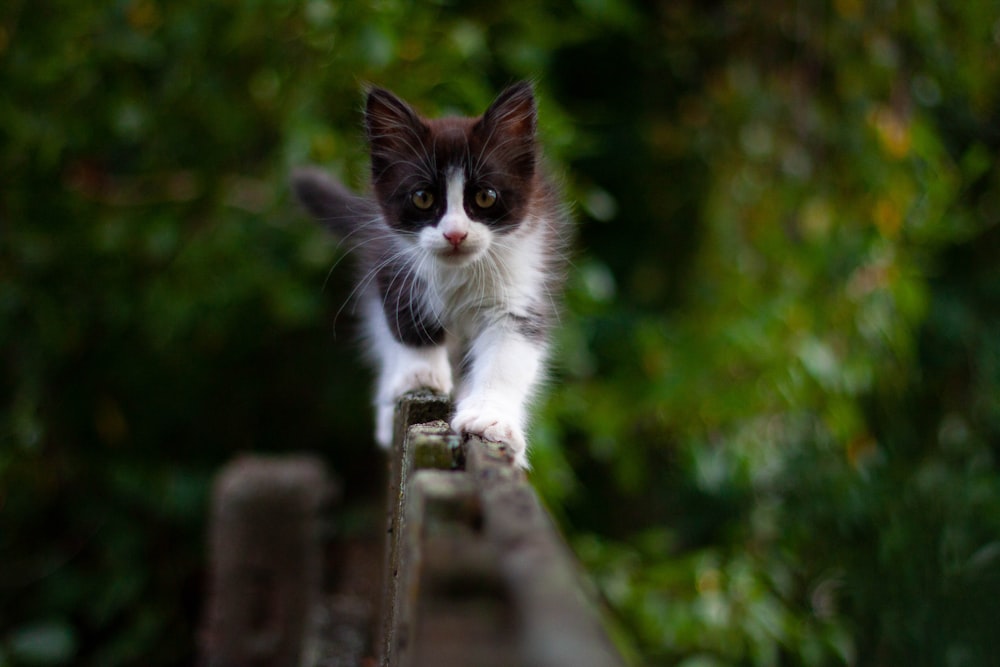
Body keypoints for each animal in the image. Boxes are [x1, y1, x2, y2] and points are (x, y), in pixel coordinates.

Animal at [292, 82, 568, 470]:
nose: (455, 234)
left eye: (485, 197)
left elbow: (508, 355)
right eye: (423, 198)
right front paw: (421, 375)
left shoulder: (521, 282)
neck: (460, 271)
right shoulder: (391, 261)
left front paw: (490, 419)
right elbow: (408, 322)